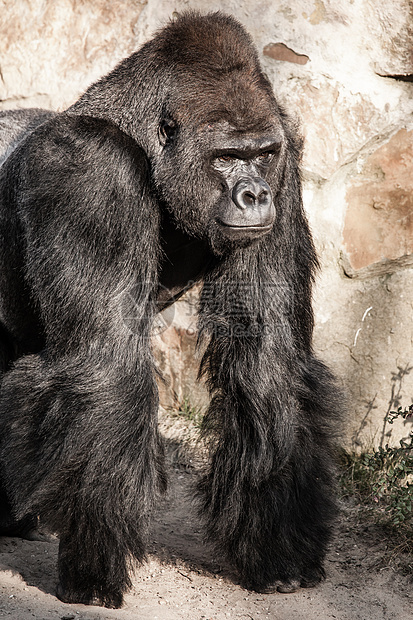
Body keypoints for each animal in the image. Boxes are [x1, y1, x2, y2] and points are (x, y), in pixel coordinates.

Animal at [0, 9, 340, 612]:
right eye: (226, 157)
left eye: (261, 155)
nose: (255, 195)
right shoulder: (91, 171)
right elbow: (108, 367)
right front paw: (93, 569)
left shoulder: (287, 169)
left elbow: (267, 362)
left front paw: (279, 549)